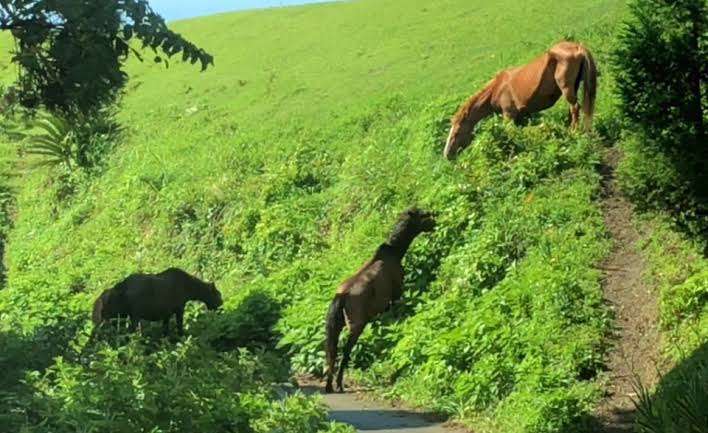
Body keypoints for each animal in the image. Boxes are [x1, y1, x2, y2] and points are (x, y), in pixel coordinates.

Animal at [92, 267, 223, 336]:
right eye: (218, 294)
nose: (221, 305)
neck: (190, 290)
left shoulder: (166, 313)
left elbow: (165, 329)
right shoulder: (179, 308)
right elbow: (179, 326)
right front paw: (182, 336)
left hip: (121, 317)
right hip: (130, 316)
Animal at [324, 208, 436, 393]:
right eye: (421, 215)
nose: (434, 221)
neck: (396, 252)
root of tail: (340, 298)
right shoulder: (396, 294)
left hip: (337, 326)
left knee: (331, 352)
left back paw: (328, 386)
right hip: (356, 324)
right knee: (345, 353)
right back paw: (339, 384)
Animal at [444, 41, 598, 159]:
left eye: (456, 133)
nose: (447, 155)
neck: (496, 88)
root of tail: (578, 47)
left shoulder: (508, 115)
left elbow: (513, 133)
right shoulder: (521, 116)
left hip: (566, 89)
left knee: (575, 107)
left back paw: (574, 132)